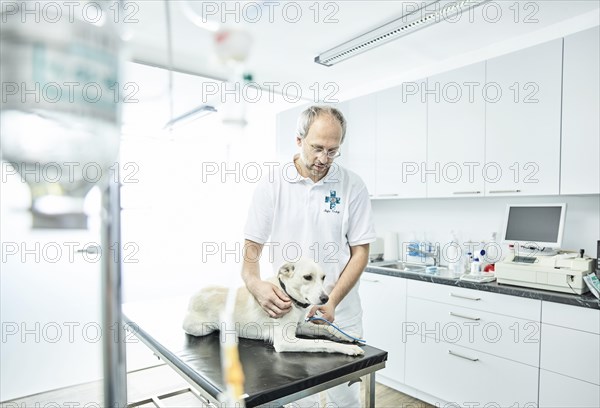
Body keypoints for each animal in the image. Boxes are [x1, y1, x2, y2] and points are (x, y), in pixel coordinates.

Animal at [183, 260, 364, 356]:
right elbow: (322, 342)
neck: (290, 297)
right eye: (307, 277)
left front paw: (348, 335)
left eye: (323, 277)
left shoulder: (299, 326)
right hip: (201, 329)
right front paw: (349, 348)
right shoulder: (285, 341)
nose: (326, 298)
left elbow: (328, 328)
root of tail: (192, 297)